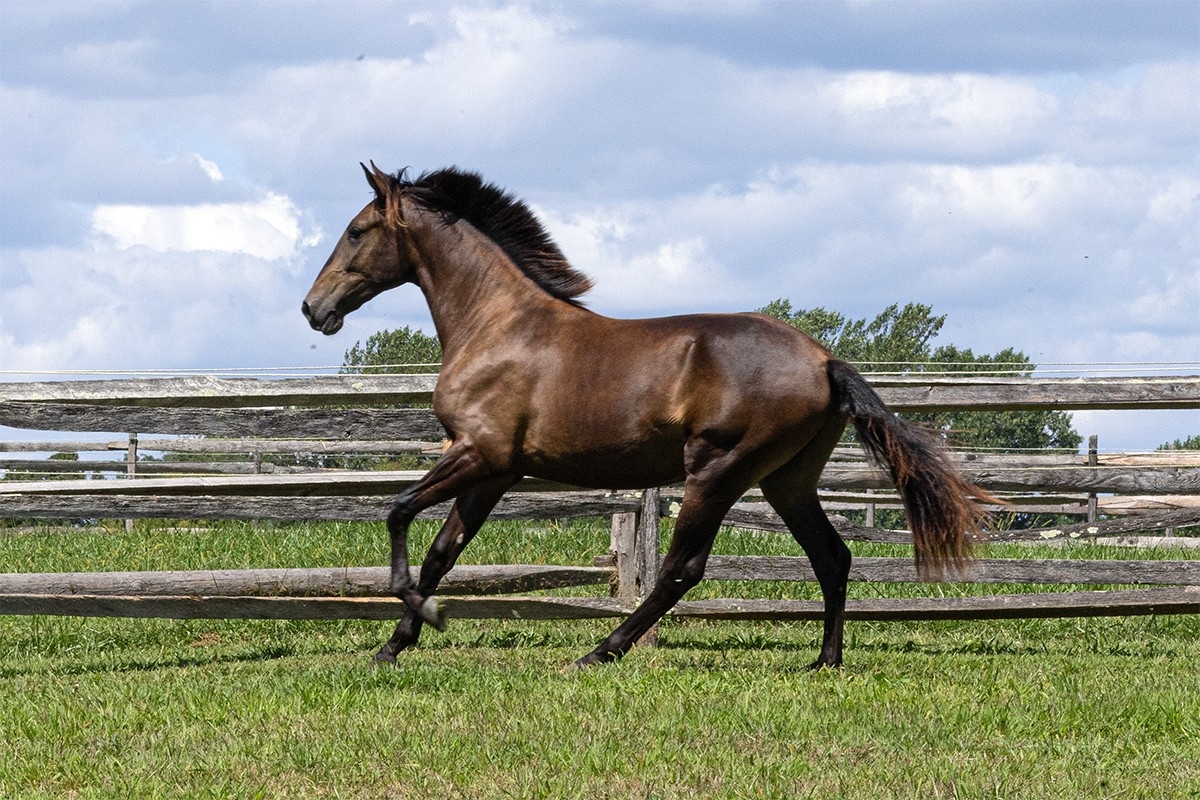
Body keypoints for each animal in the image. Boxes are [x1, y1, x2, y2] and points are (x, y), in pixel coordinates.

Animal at [302, 163, 993, 670]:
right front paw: (394, 645)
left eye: (357, 230)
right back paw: (825, 661)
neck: (496, 325)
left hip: (717, 471)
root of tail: (825, 360)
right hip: (787, 480)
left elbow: (397, 514)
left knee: (682, 569)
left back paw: (599, 653)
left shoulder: (479, 453)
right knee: (832, 557)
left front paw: (422, 619)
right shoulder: (496, 471)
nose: (314, 308)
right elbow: (442, 553)